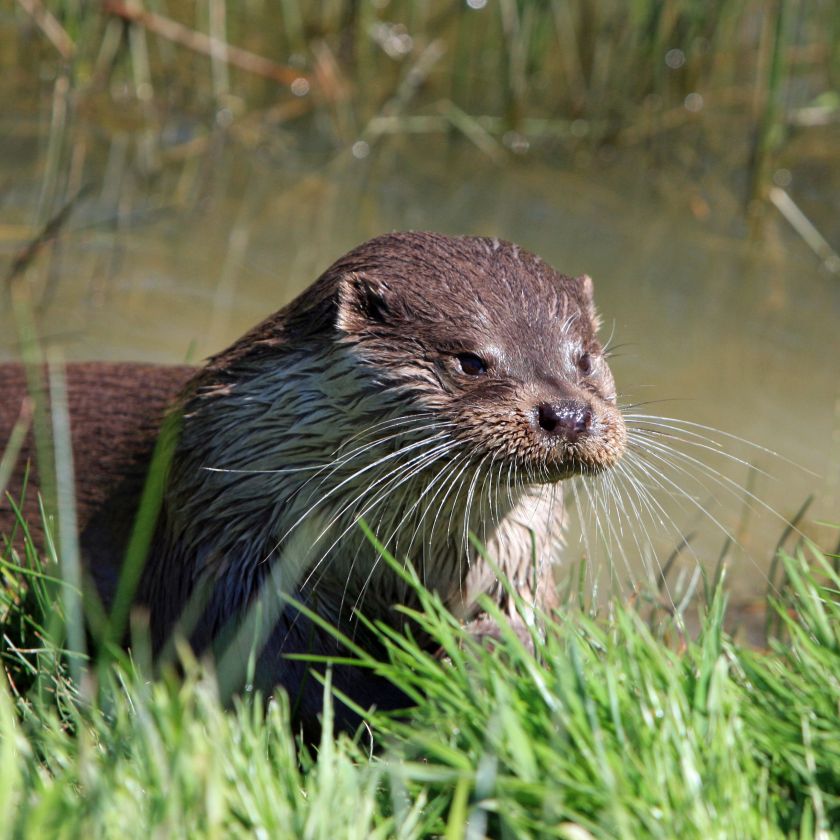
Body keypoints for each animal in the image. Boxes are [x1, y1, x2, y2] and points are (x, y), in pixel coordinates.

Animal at [0, 232, 626, 731]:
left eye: (584, 359)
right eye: (471, 361)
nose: (568, 414)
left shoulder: (519, 556)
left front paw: (495, 655)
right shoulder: (227, 549)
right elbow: (283, 665)